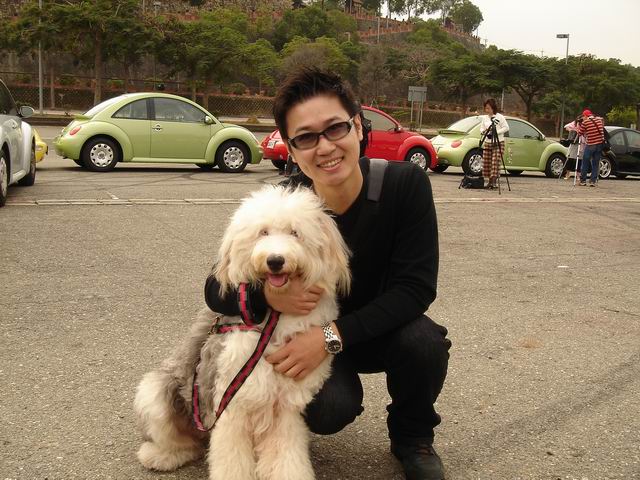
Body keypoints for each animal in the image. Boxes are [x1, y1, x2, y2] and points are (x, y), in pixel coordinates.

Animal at [134, 185, 351, 480]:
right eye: (263, 232)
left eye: (295, 232)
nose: (275, 260)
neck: (275, 320)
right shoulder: (232, 401)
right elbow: (232, 458)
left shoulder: (286, 407)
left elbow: (287, 453)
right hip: (156, 394)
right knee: (179, 439)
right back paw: (159, 456)